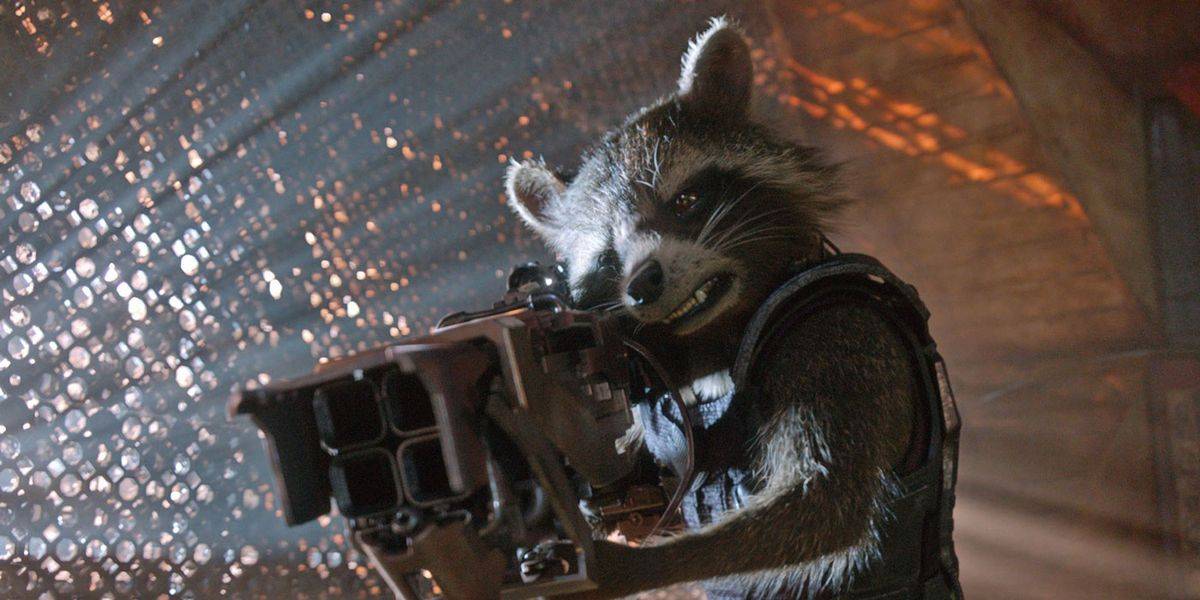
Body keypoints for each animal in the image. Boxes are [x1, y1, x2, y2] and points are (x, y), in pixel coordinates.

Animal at [506, 18, 931, 599]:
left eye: (684, 202)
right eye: (609, 257)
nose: (642, 284)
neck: (720, 333)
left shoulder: (837, 330)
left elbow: (825, 502)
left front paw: (627, 564)